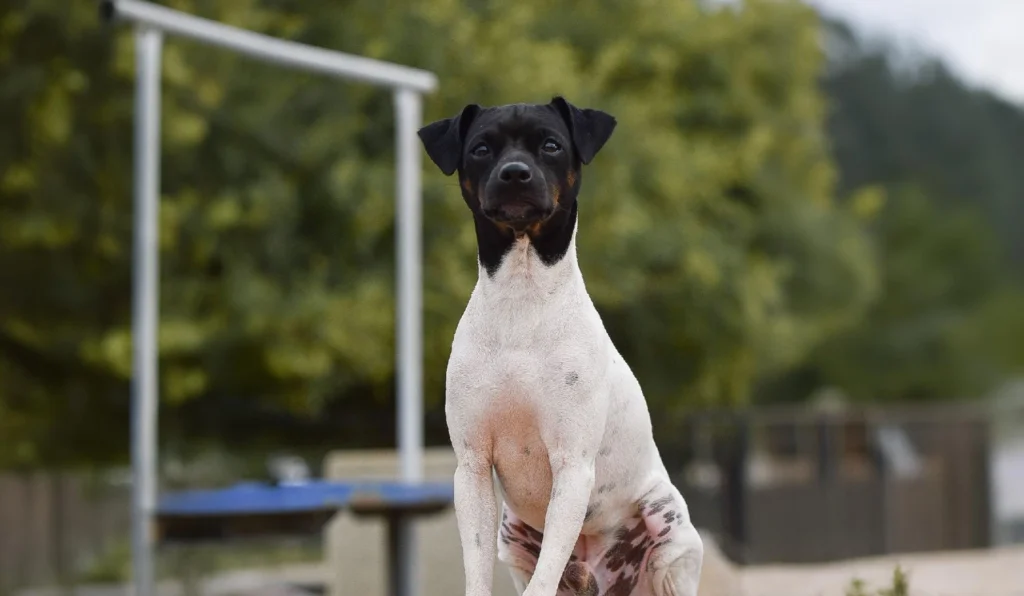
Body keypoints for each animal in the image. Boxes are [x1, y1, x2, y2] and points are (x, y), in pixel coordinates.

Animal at [419, 98, 700, 596]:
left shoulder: (572, 464)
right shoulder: (471, 467)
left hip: (669, 530)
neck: (522, 298)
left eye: (550, 145)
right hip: (511, 535)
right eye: (481, 148)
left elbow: (543, 578)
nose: (514, 173)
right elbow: (477, 569)